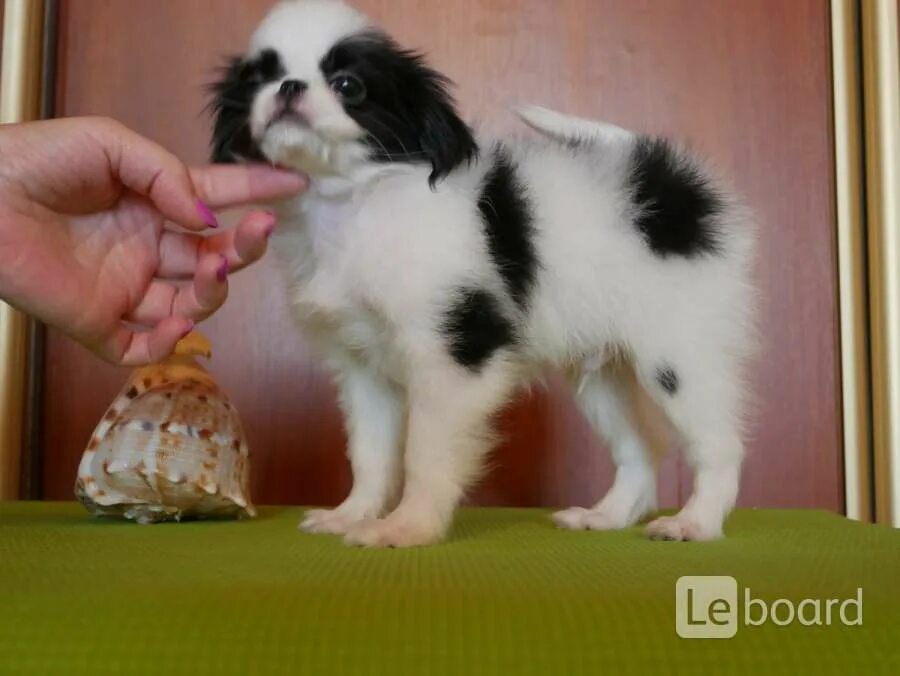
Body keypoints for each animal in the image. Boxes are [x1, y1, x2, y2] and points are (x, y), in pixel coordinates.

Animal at [209, 0, 752, 548]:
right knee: (639, 450)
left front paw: (407, 527)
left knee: (719, 445)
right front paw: (353, 515)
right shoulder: (361, 368)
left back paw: (696, 522)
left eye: (348, 85)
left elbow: (424, 453)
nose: (288, 87)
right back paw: (607, 516)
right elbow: (370, 454)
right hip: (603, 373)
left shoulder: (453, 355)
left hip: (679, 355)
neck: (351, 204)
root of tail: (673, 183)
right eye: (259, 78)